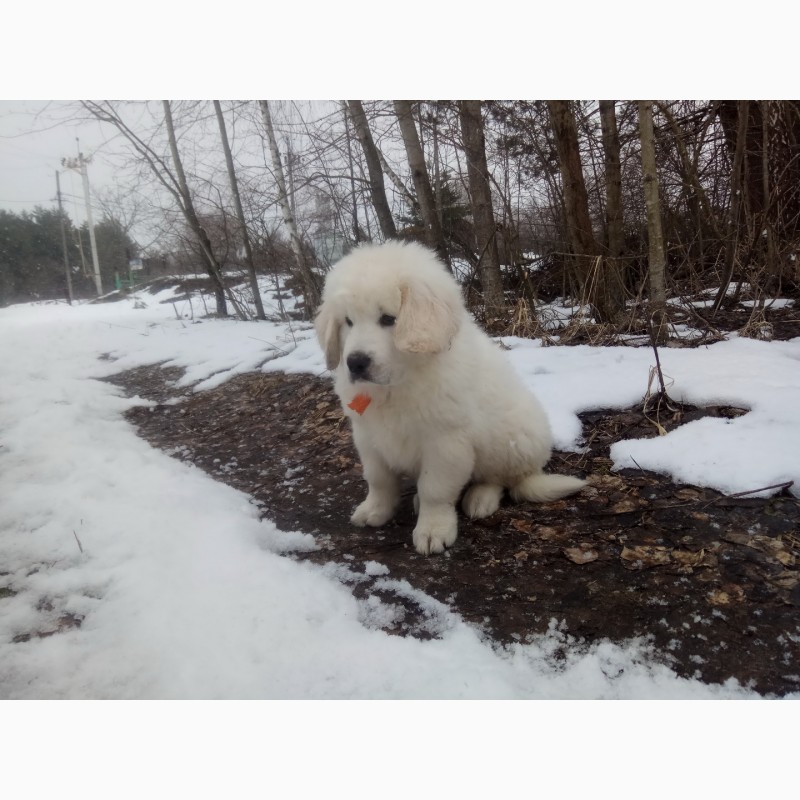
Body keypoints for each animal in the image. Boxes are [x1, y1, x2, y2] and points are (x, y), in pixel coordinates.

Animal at [316, 241, 584, 552]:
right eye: (348, 321)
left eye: (388, 319)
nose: (356, 363)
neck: (399, 382)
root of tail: (533, 471)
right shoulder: (368, 436)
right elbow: (379, 479)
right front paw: (375, 510)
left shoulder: (445, 441)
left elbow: (435, 489)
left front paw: (433, 530)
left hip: (509, 441)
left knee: (500, 480)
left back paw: (481, 499)